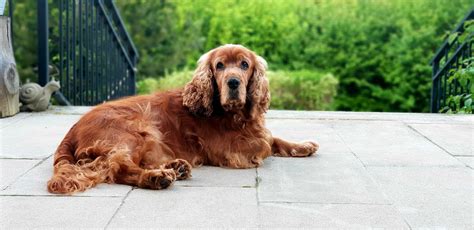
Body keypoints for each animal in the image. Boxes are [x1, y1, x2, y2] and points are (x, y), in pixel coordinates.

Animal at [47, 43, 318, 194]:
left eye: (244, 64)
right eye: (219, 66)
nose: (233, 82)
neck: (233, 114)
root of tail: (72, 130)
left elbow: (275, 138)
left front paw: (303, 145)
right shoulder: (228, 149)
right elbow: (264, 142)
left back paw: (175, 167)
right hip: (136, 131)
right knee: (117, 166)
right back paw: (156, 177)